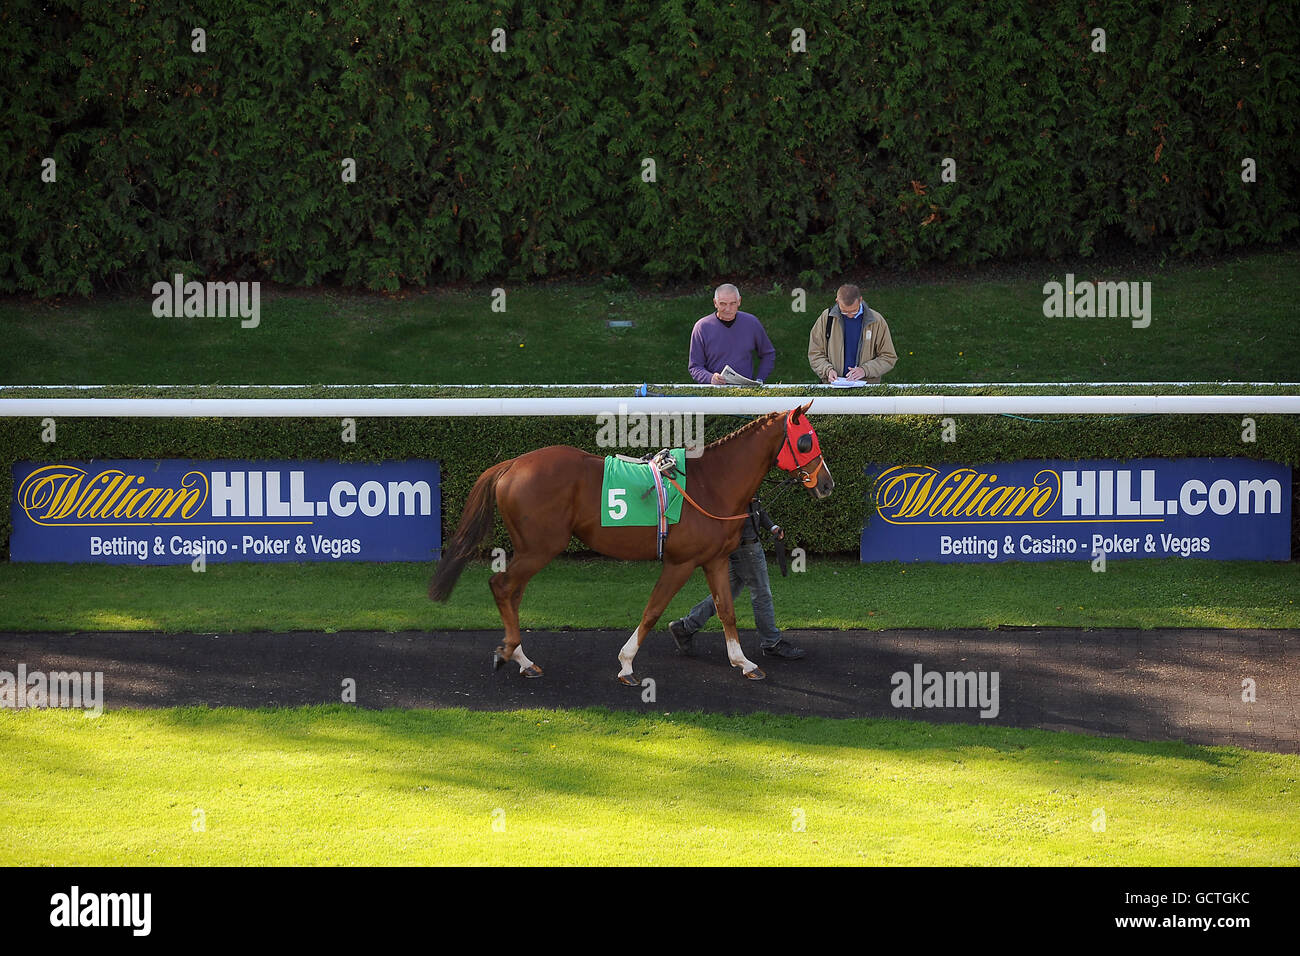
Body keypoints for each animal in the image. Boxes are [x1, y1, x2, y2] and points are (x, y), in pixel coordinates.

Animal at [428, 400, 833, 683]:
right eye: (805, 441)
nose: (827, 484)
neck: (711, 485)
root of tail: (511, 465)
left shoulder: (715, 559)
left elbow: (726, 610)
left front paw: (744, 662)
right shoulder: (680, 562)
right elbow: (653, 610)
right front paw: (626, 665)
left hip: (531, 549)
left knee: (512, 591)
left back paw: (522, 659)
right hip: (540, 548)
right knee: (501, 585)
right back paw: (510, 652)